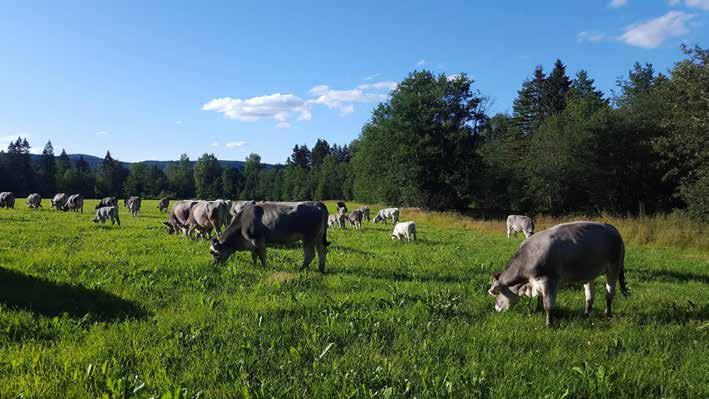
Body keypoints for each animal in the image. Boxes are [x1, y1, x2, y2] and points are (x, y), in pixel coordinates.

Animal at [486, 222, 632, 328]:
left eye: (496, 293)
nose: (496, 308)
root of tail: (612, 228)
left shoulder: (549, 281)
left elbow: (548, 305)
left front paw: (549, 324)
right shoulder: (538, 283)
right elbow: (540, 299)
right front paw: (537, 310)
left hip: (613, 268)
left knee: (609, 293)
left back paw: (608, 314)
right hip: (589, 273)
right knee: (590, 296)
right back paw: (586, 313)